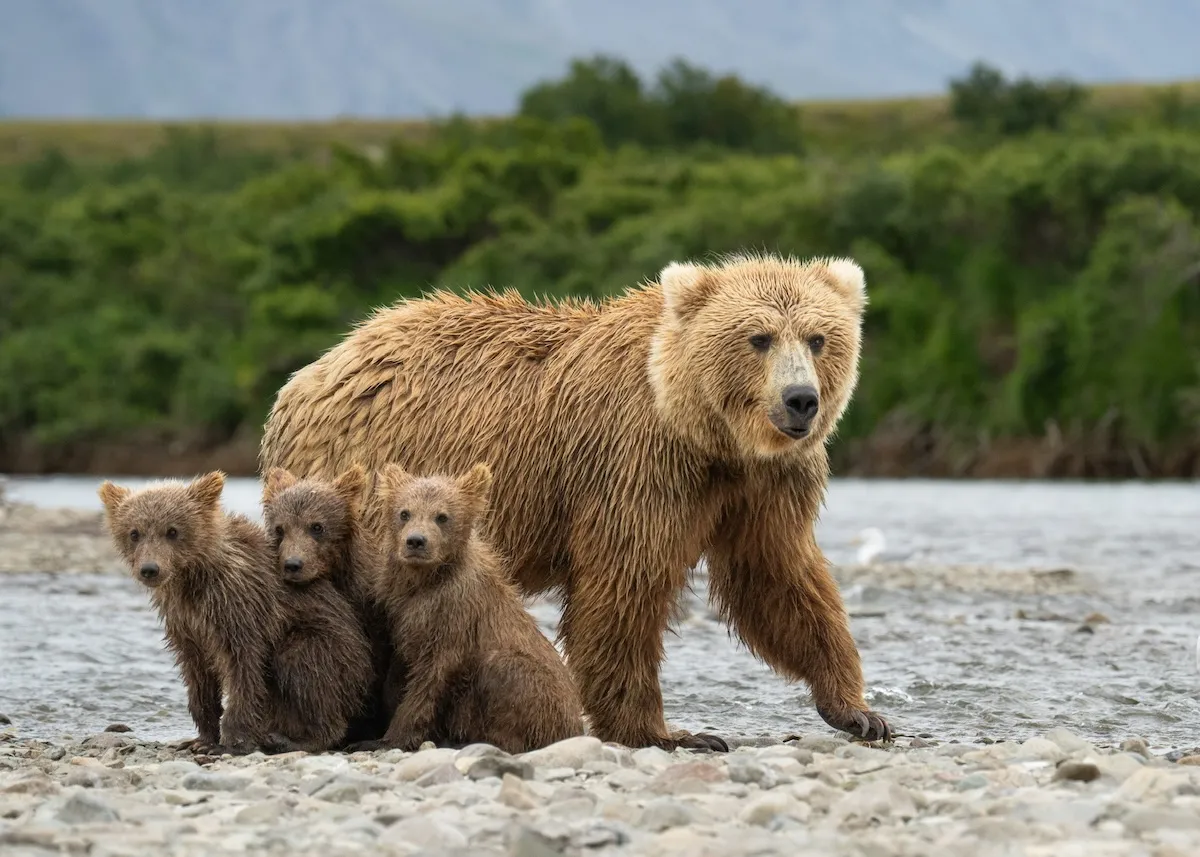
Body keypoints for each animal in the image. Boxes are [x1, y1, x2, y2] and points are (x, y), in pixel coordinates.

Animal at [98, 471, 282, 754]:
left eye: (172, 531)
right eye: (134, 533)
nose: (150, 569)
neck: (191, 581)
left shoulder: (238, 608)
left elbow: (243, 668)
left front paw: (231, 740)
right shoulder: (184, 622)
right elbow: (197, 673)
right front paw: (202, 737)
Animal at [367, 461, 584, 753]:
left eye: (442, 516)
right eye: (404, 512)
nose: (415, 541)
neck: (425, 581)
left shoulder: (456, 616)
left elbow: (431, 678)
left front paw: (389, 737)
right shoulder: (401, 615)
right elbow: (398, 671)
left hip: (543, 699)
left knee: (502, 670)